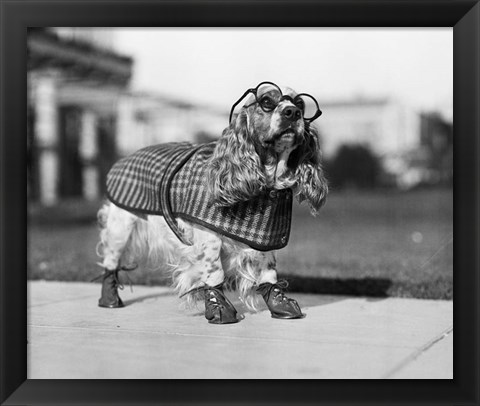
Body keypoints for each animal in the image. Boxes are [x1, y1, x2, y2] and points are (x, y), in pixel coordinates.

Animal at [95, 81, 328, 324]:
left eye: (301, 104)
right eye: (266, 101)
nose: (293, 112)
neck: (266, 185)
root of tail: (124, 158)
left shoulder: (266, 241)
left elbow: (269, 274)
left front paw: (281, 305)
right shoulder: (209, 239)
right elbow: (215, 273)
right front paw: (220, 309)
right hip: (120, 227)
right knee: (110, 263)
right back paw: (110, 300)